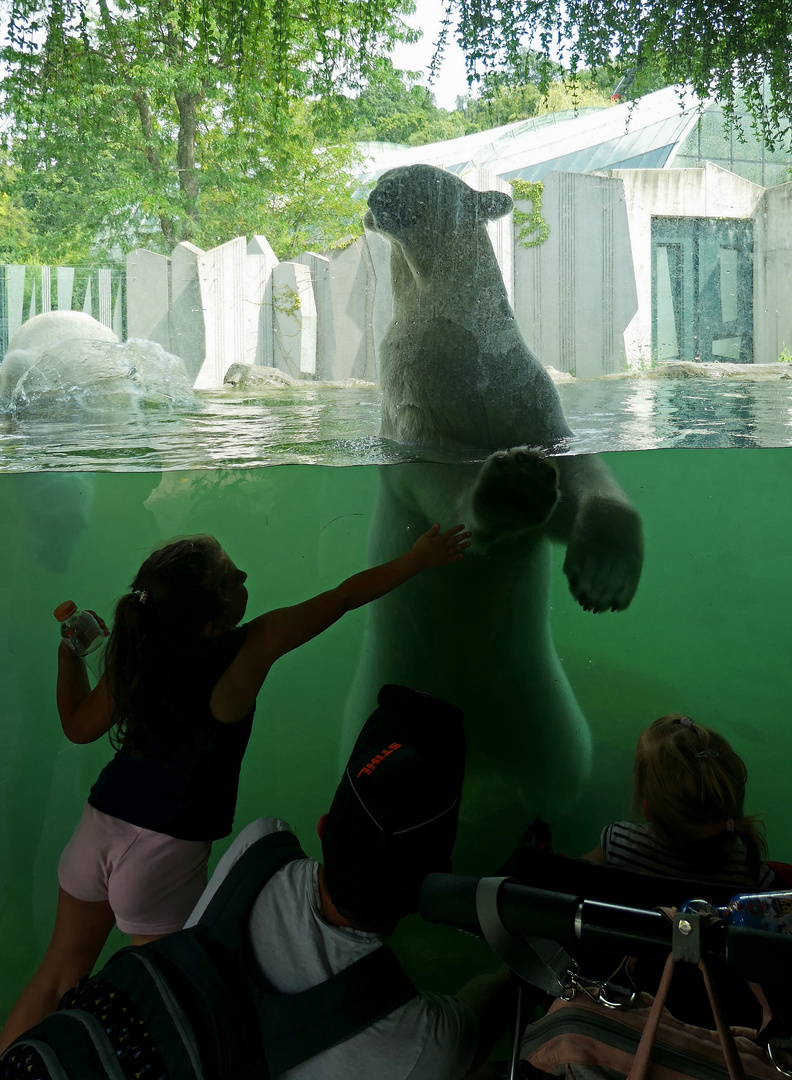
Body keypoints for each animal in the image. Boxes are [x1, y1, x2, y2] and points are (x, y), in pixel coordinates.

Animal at [343, 162, 639, 868]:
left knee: (558, 773)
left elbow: (577, 476)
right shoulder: (412, 411)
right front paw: (508, 486)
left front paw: (605, 575)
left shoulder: (523, 392)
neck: (456, 339)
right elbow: (440, 479)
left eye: (420, 181)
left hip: (546, 713)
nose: (376, 191)